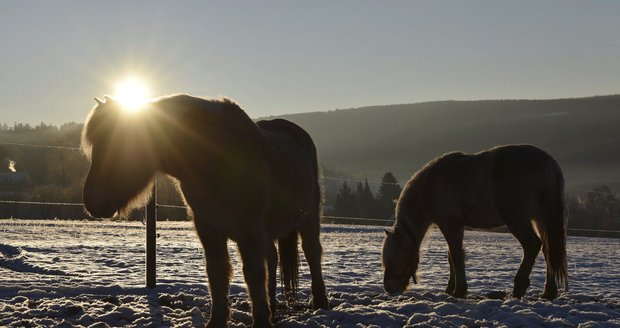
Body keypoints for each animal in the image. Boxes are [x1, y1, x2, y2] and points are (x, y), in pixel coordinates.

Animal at [82, 93, 330, 326]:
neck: (214, 158)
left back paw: (320, 303)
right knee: (272, 257)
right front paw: (218, 320)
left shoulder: (248, 230)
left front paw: (260, 321)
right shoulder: (209, 228)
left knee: (312, 252)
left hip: (308, 218)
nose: (91, 201)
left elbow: (252, 274)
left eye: (119, 142)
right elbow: (217, 272)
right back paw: (274, 309)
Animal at [382, 145, 568, 302]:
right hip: (541, 220)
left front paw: (459, 291)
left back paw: (518, 288)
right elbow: (452, 256)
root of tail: (547, 162)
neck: (432, 185)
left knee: (533, 245)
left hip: (518, 221)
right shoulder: (457, 226)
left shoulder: (449, 225)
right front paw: (450, 288)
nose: (389, 288)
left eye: (396, 255)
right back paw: (548, 293)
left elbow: (456, 255)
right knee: (548, 249)